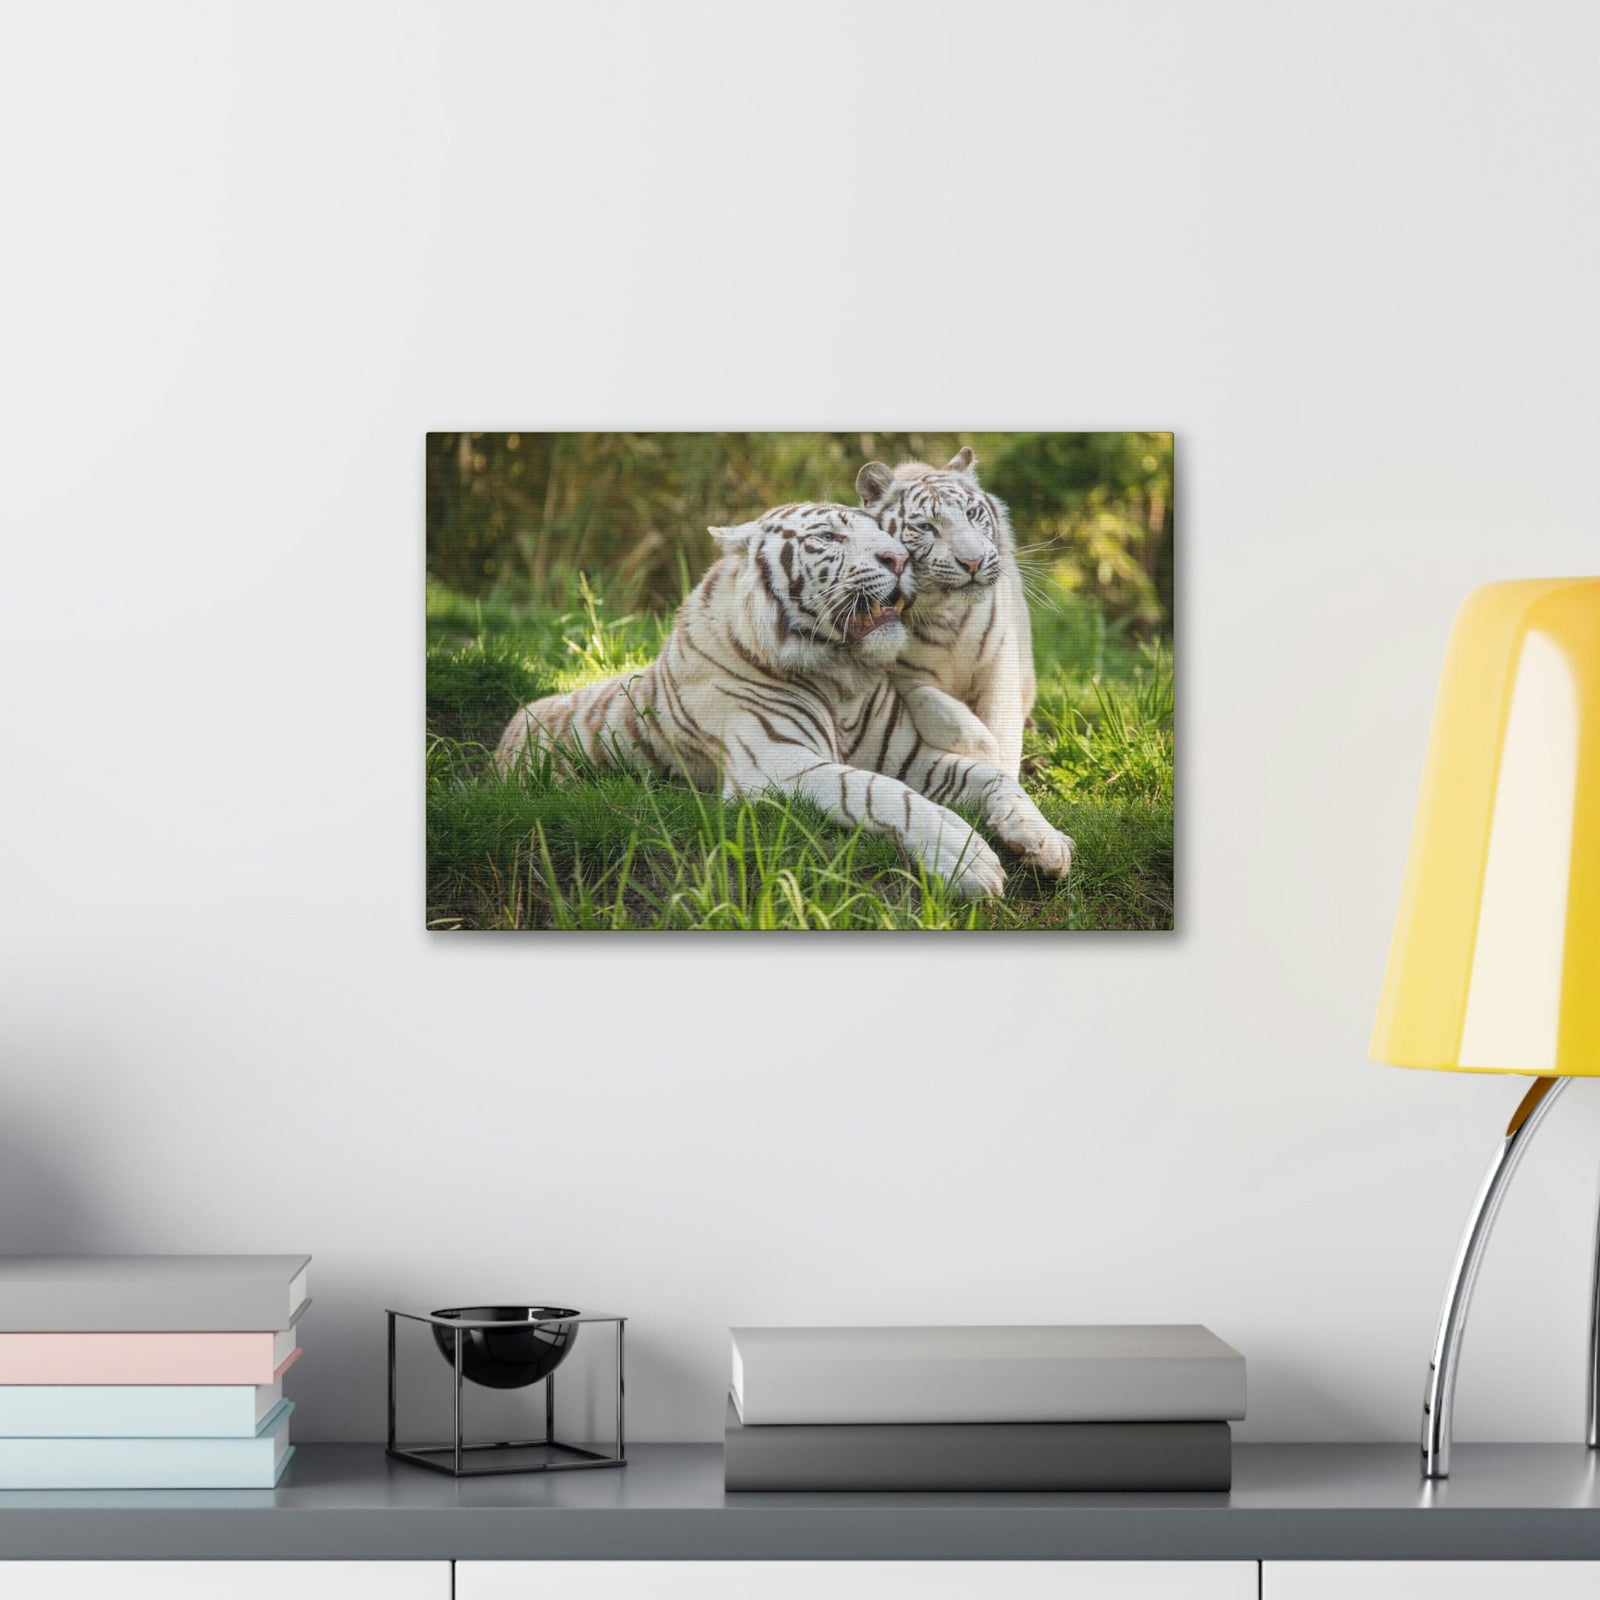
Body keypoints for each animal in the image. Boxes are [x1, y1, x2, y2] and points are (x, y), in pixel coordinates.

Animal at [493, 500, 1073, 900]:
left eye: (887, 534)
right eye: (829, 536)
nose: (900, 557)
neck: (842, 679)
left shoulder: (909, 755)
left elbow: (994, 778)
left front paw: (1044, 841)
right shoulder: (775, 764)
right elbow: (879, 792)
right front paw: (966, 858)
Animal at [856, 447, 1037, 780]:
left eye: (971, 514)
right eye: (926, 527)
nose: (973, 562)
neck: (945, 612)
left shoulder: (1000, 664)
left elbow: (1003, 726)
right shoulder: (901, 676)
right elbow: (942, 710)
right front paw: (986, 754)